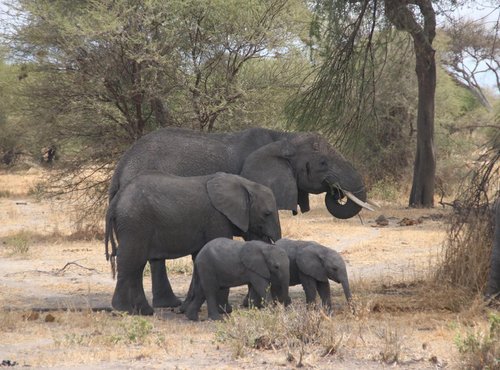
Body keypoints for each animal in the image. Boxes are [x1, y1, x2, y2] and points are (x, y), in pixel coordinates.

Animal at [105, 171, 282, 316]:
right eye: (267, 214)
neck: (244, 184)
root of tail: (115, 201)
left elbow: (199, 258)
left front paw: (185, 309)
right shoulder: (216, 218)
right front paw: (225, 311)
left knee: (137, 265)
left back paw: (144, 312)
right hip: (134, 223)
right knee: (129, 261)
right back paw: (123, 310)